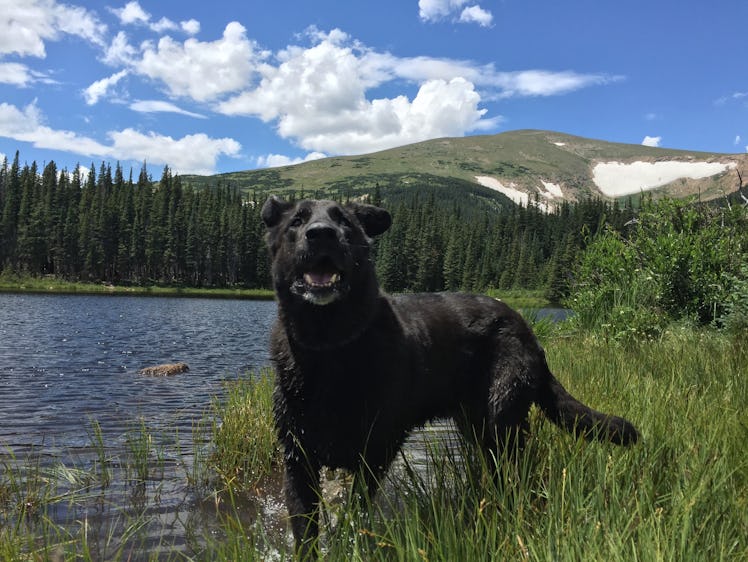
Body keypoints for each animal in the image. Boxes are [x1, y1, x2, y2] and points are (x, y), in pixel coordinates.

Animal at [262, 195, 636, 552]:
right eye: (297, 221)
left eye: (344, 222)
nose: (321, 233)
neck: (330, 345)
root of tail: (528, 330)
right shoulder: (297, 459)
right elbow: (305, 532)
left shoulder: (376, 451)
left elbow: (354, 513)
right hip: (474, 424)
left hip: (501, 417)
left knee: (516, 468)